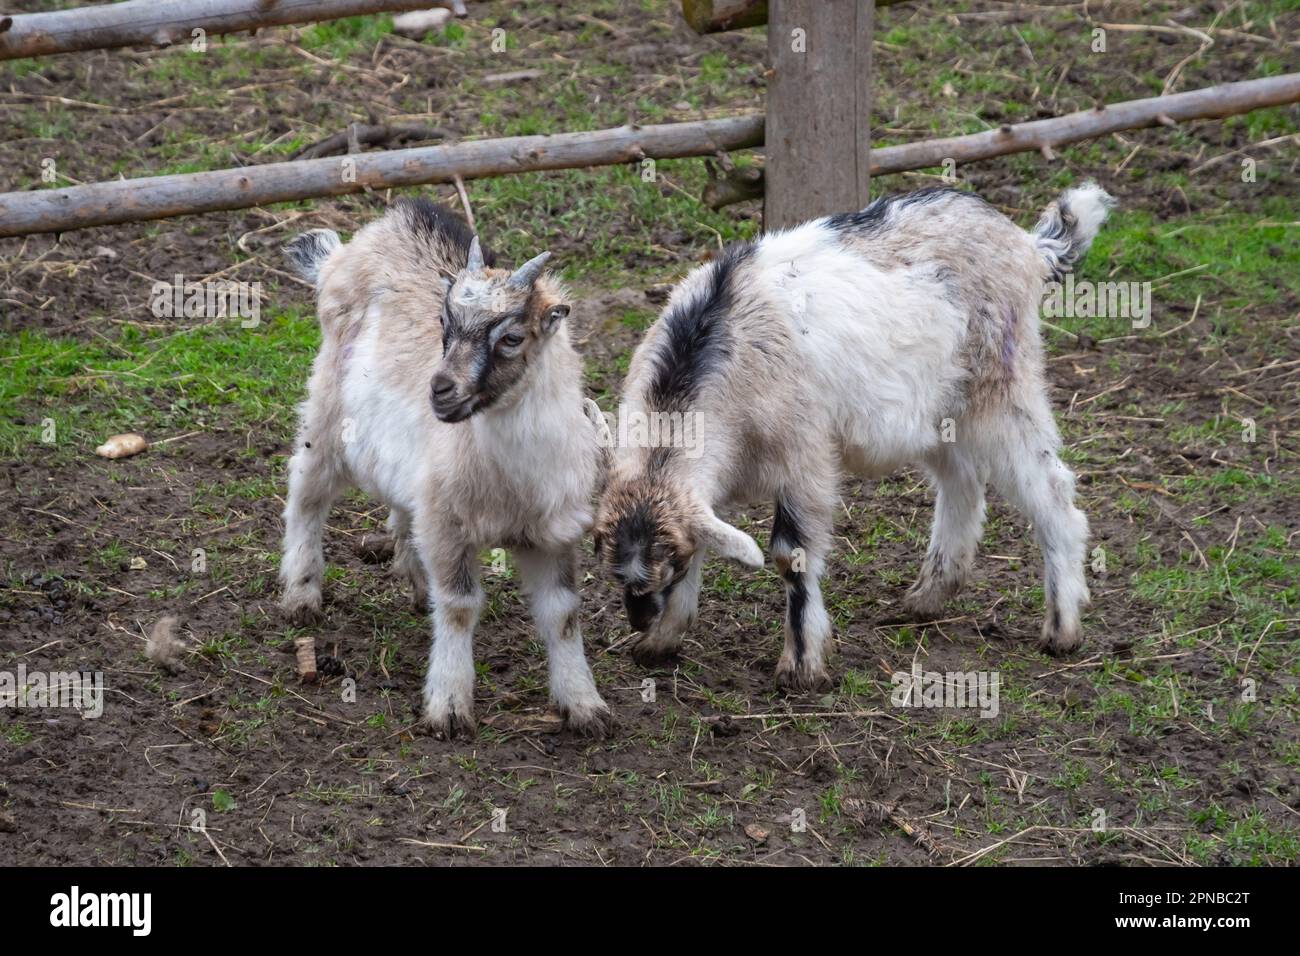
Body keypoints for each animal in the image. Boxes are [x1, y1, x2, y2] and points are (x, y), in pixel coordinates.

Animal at [279, 199, 610, 737]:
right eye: (442, 322)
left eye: (511, 337)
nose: (440, 390)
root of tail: (346, 253)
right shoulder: (449, 524)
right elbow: (459, 607)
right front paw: (449, 706)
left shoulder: (552, 533)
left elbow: (562, 614)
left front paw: (585, 705)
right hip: (327, 414)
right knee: (306, 493)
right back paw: (301, 595)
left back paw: (416, 585)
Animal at [595, 184, 1113, 689]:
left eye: (668, 563)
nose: (638, 617)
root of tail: (1028, 246)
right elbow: (707, 537)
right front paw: (662, 641)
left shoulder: (803, 458)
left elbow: (790, 554)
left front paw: (801, 666)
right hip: (937, 408)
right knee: (962, 482)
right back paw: (929, 595)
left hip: (1002, 385)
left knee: (1050, 488)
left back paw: (1062, 627)